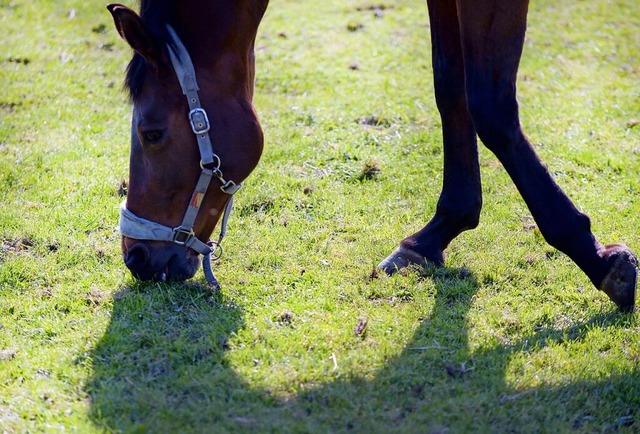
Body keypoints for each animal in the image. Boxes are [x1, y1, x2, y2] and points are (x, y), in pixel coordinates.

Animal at [107, 0, 636, 312]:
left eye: (151, 133)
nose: (135, 257)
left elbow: (490, 106)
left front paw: (596, 257)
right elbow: (451, 88)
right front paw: (436, 233)